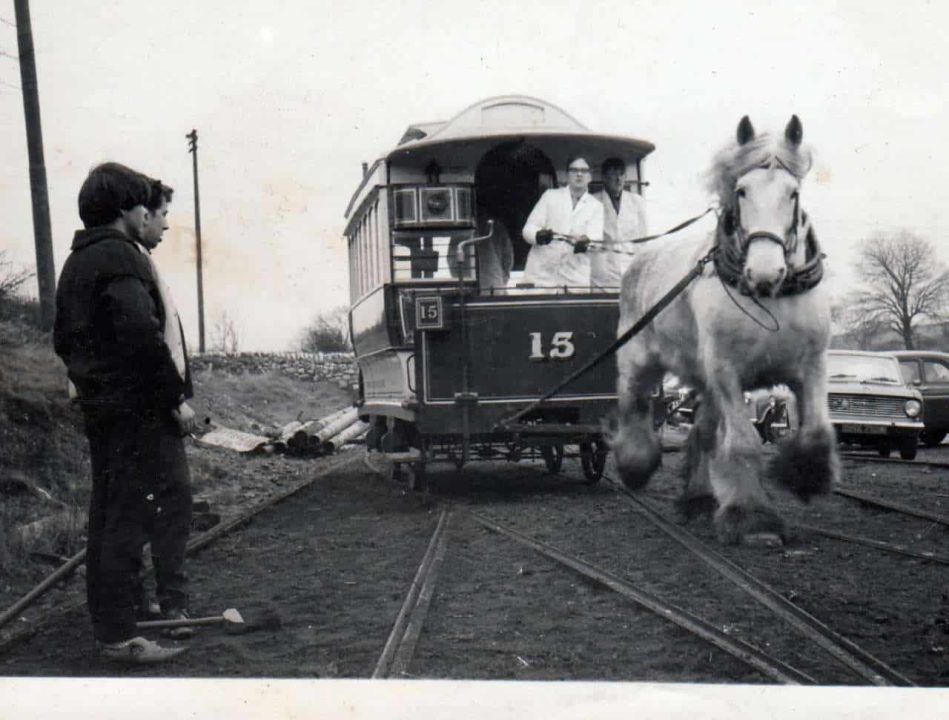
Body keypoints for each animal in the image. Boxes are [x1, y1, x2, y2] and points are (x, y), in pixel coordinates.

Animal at [608, 115, 836, 544]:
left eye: (793, 194)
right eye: (742, 191)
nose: (765, 271)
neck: (773, 298)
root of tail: (641, 258)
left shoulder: (811, 367)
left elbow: (815, 432)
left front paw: (805, 478)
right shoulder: (726, 371)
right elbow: (743, 442)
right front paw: (750, 516)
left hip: (703, 377)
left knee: (703, 432)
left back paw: (697, 497)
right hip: (638, 361)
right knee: (634, 406)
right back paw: (635, 463)